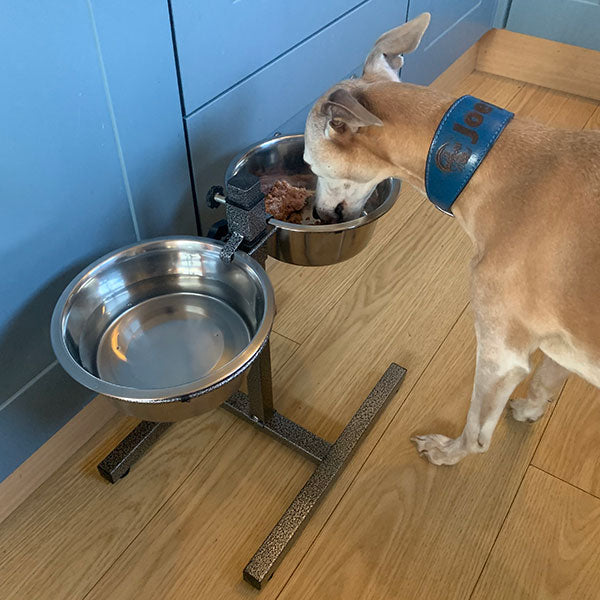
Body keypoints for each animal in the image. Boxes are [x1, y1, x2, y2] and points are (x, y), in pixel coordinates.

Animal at [302, 12, 600, 464]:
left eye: (309, 162)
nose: (318, 215)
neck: (491, 165)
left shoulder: (500, 353)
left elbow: (477, 433)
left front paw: (448, 453)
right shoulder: (564, 344)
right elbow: (547, 379)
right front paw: (531, 409)